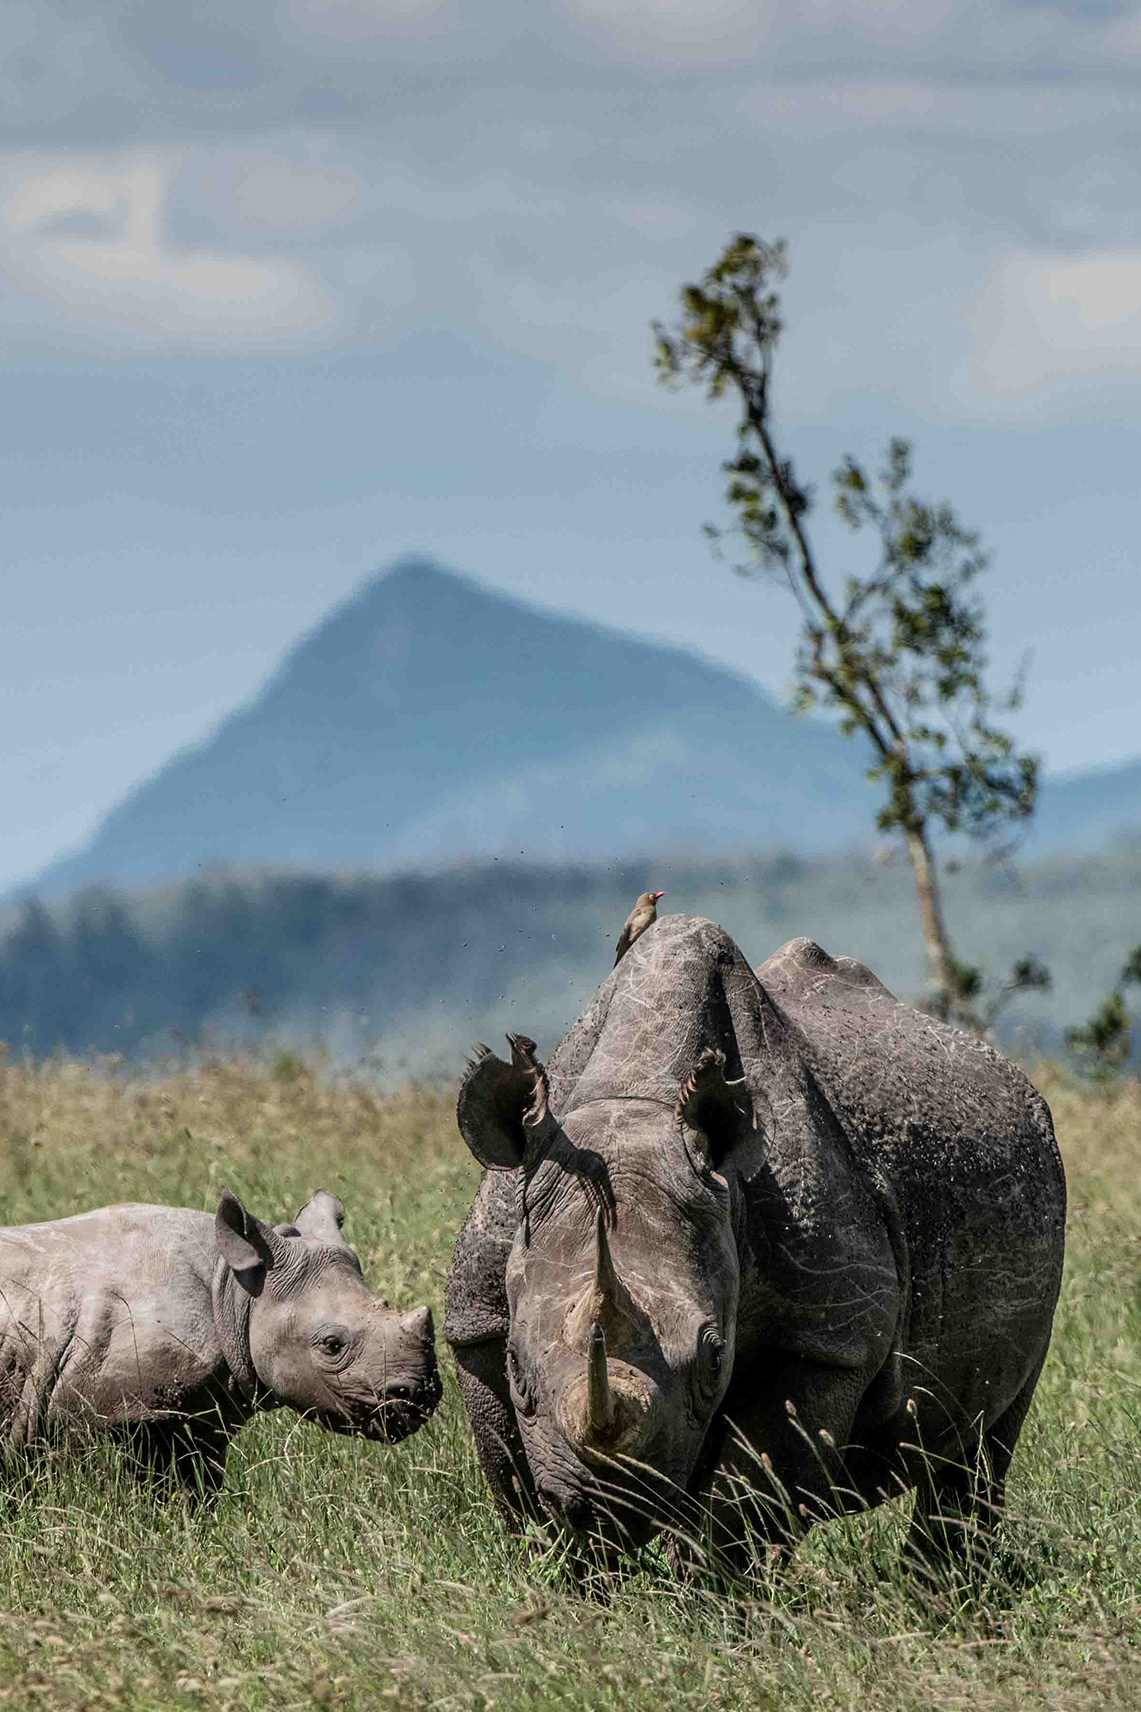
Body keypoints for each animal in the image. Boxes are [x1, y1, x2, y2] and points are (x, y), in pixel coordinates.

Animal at [0, 1187, 441, 1494]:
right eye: (331, 1345)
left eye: (386, 1305)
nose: (420, 1393)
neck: (235, 1289)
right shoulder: (109, 1409)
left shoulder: (202, 1411)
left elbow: (193, 1486)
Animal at [446, 916, 1066, 1573]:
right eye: (515, 1362)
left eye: (716, 1359)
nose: (606, 1505)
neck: (636, 1099)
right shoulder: (478, 1319)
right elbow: (513, 1476)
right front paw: (573, 1572)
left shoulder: (823, 1341)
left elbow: (744, 1501)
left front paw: (704, 1591)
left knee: (981, 1443)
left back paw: (939, 1584)